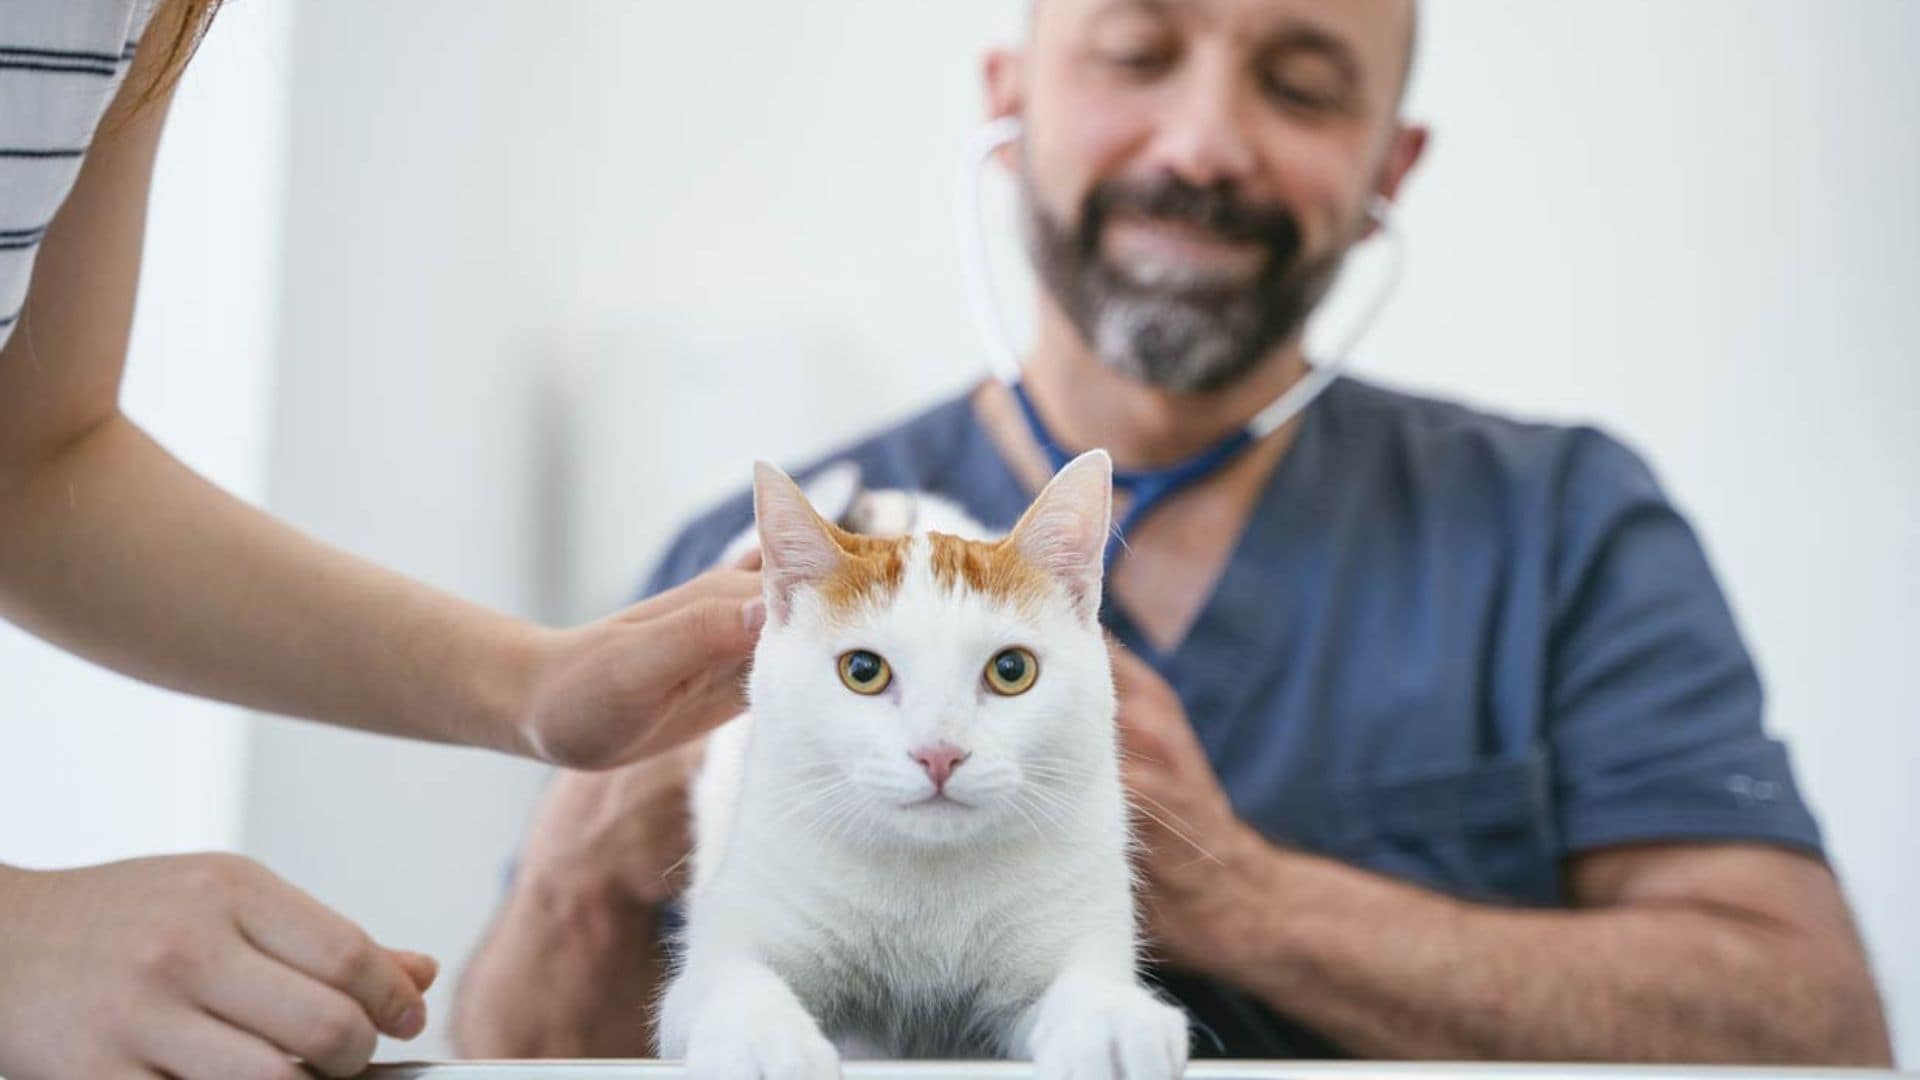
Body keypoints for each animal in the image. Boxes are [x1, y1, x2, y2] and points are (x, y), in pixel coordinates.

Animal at [668, 449, 1190, 1068]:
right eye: (862, 670)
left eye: (1011, 670)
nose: (939, 753)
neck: (930, 882)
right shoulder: (729, 941)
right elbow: (733, 979)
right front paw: (762, 1040)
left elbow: (1084, 983)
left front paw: (1111, 1020)